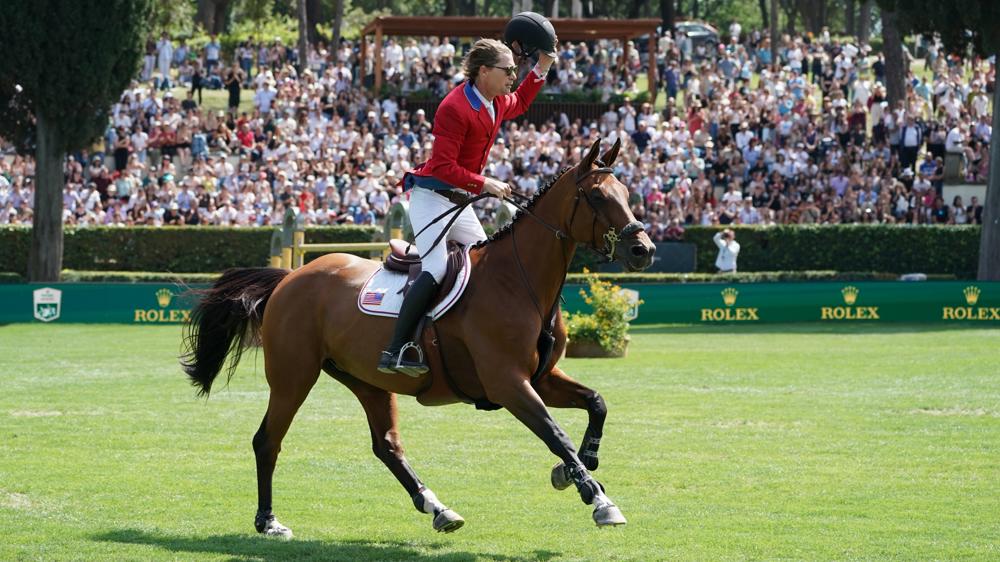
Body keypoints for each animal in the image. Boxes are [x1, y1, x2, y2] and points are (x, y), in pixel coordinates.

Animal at [182, 138, 656, 536]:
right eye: (598, 197)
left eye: (627, 194)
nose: (644, 250)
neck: (519, 282)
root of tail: (290, 277)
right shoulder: (508, 383)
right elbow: (555, 434)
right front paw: (596, 497)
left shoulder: (541, 378)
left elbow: (596, 403)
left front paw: (581, 464)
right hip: (293, 377)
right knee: (268, 441)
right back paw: (269, 521)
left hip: (367, 380)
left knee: (387, 445)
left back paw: (438, 508)